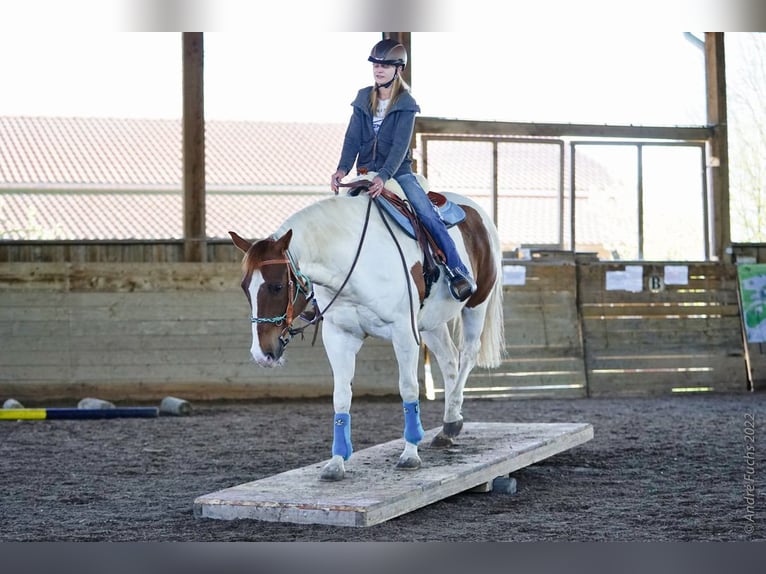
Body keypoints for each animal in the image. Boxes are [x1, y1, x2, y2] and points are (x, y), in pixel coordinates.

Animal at [229, 186, 505, 481]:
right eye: (244, 287)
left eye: (277, 286)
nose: (262, 353)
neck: (352, 263)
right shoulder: (339, 336)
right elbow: (341, 396)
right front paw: (336, 462)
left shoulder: (404, 331)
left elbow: (408, 388)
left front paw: (410, 453)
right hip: (431, 322)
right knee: (449, 360)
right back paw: (449, 425)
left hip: (477, 304)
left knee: (467, 355)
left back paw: (451, 422)